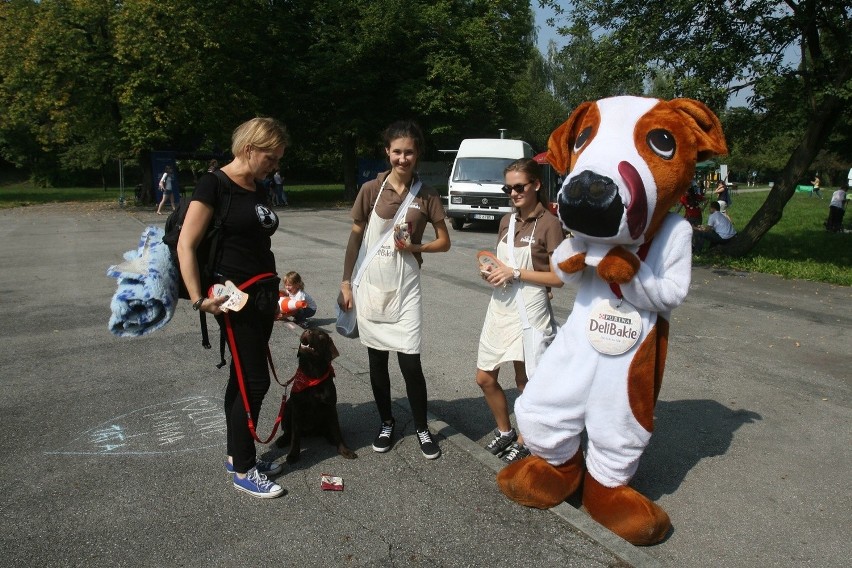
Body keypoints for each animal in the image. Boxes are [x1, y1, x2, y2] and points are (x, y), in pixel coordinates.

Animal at [276, 328, 356, 462]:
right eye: (307, 330)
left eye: (320, 335)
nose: (307, 330)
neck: (312, 375)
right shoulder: (297, 409)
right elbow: (295, 436)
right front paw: (293, 455)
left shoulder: (330, 407)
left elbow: (337, 432)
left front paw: (344, 450)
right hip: (287, 407)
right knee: (288, 431)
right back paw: (282, 440)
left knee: (328, 431)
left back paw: (330, 438)